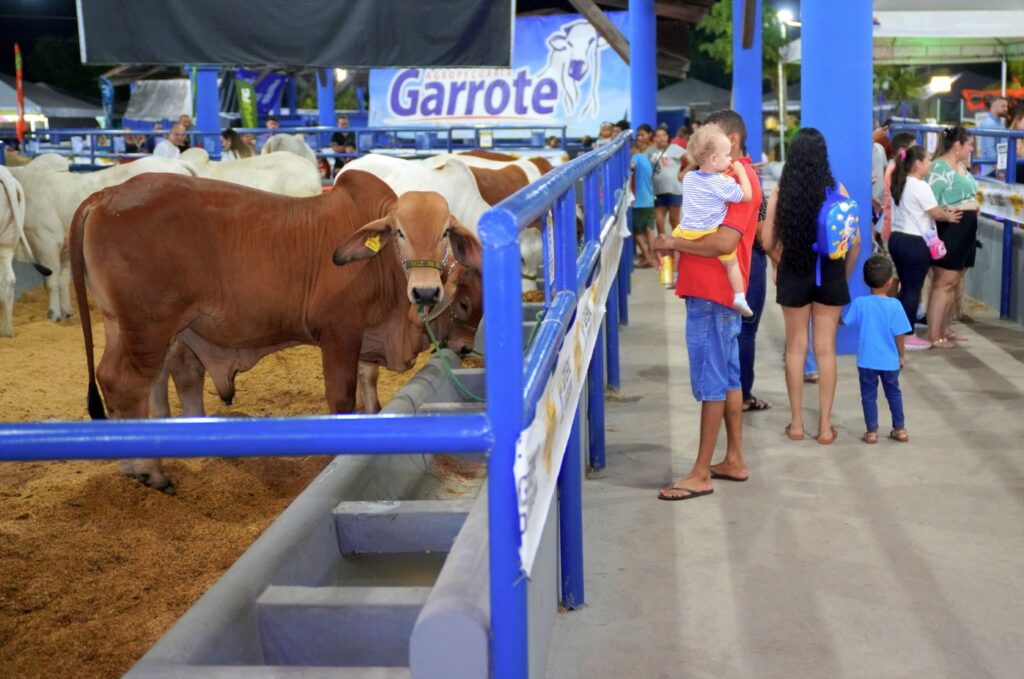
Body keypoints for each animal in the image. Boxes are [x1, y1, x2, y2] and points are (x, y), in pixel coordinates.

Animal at [12, 156, 198, 322]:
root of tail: (176, 162)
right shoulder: (64, 248)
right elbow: (63, 281)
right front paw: (66, 313)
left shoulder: (46, 241)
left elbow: (51, 281)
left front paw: (53, 315)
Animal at [70, 169, 481, 493]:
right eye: (399, 233)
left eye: (445, 232)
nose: (425, 292)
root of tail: (107, 195)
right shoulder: (339, 334)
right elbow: (342, 399)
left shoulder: (364, 337)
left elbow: (369, 381)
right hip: (148, 327)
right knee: (127, 383)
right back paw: (150, 472)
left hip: (126, 326)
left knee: (129, 380)